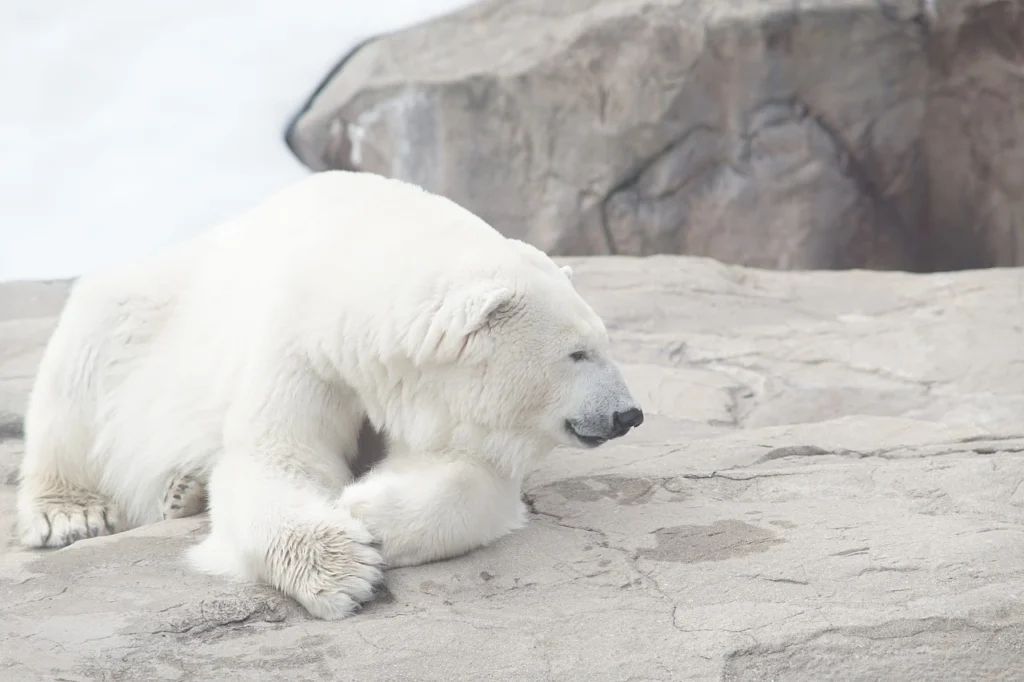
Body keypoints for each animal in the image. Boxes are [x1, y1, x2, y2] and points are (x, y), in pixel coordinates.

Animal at [14, 169, 638, 614]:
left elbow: (471, 473)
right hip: (137, 313)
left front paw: (366, 509)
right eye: (578, 353)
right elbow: (276, 457)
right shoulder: (304, 346)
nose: (628, 414)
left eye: (605, 341)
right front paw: (343, 566)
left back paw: (183, 490)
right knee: (80, 370)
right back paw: (71, 513)